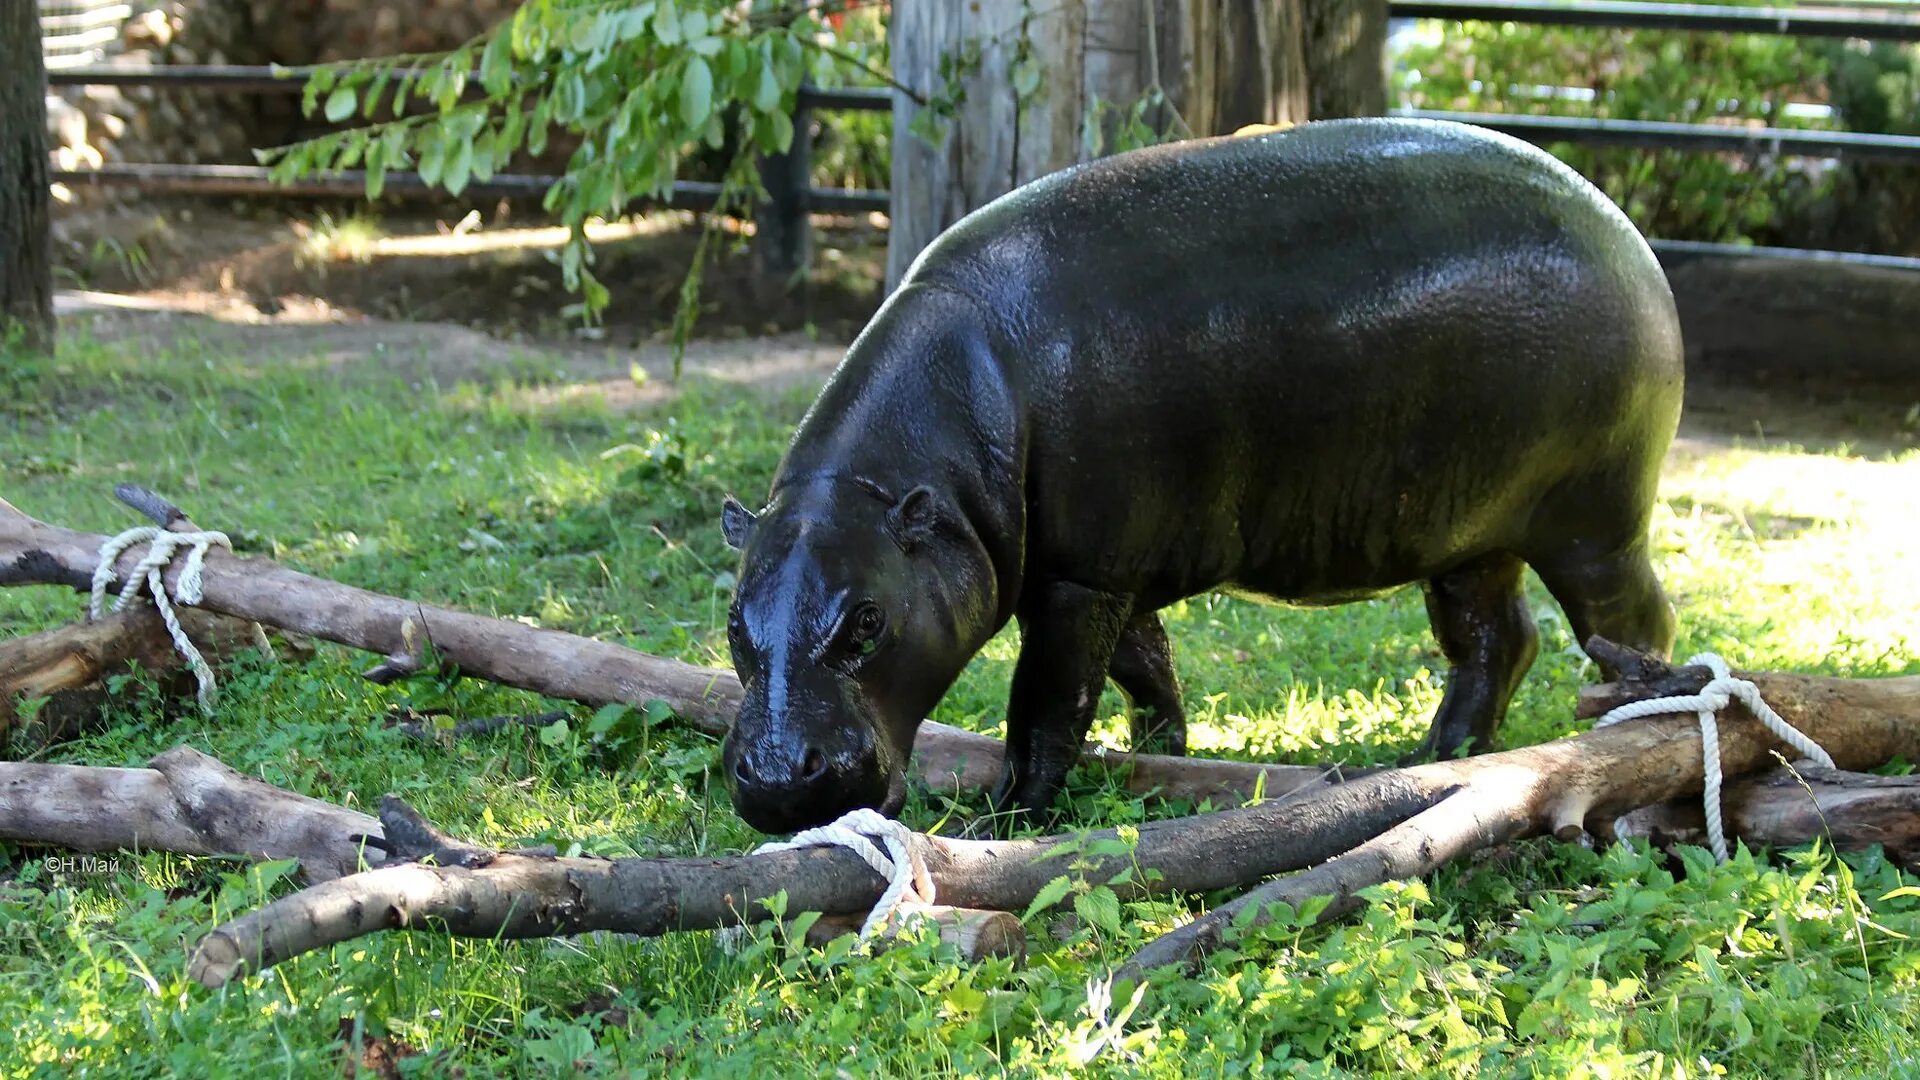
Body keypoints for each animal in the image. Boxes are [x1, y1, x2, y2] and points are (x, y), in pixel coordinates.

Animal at [718, 115, 1681, 834]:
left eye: (868, 621)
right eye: (731, 620)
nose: (777, 779)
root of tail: (1627, 232)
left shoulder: (1079, 580)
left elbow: (1048, 703)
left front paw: (1007, 817)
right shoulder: (1113, 569)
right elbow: (1145, 667)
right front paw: (1161, 752)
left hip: (1594, 519)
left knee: (1631, 620)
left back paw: (1639, 717)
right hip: (1469, 533)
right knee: (1496, 639)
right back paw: (1434, 755)